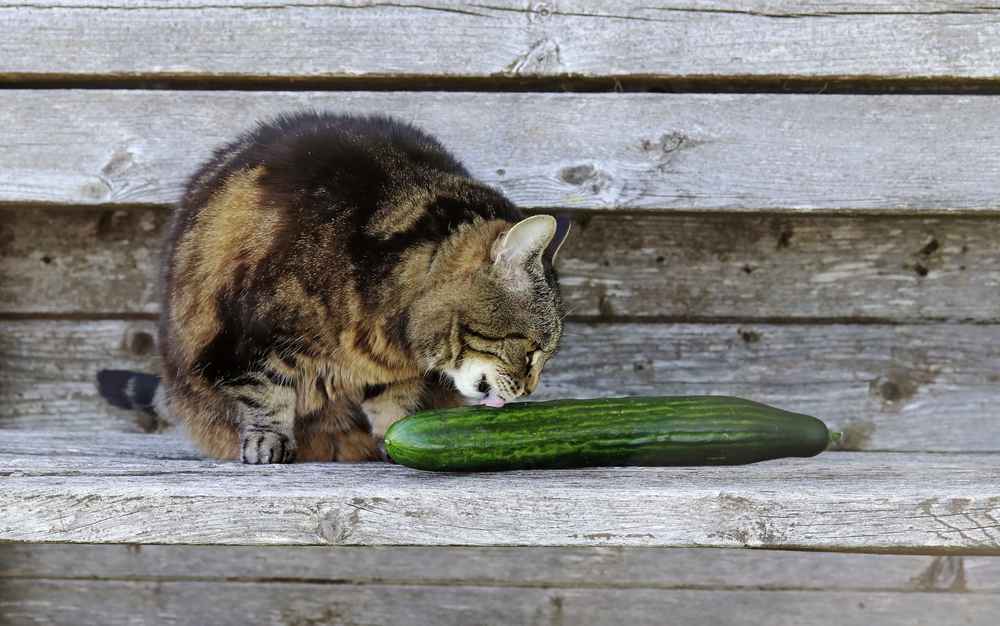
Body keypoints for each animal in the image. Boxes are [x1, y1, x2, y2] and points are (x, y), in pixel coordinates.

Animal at [102, 111, 576, 464]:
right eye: (531, 350)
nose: (531, 390)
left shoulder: (392, 372)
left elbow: (393, 403)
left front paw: (394, 435)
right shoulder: (247, 338)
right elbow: (264, 392)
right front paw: (268, 441)